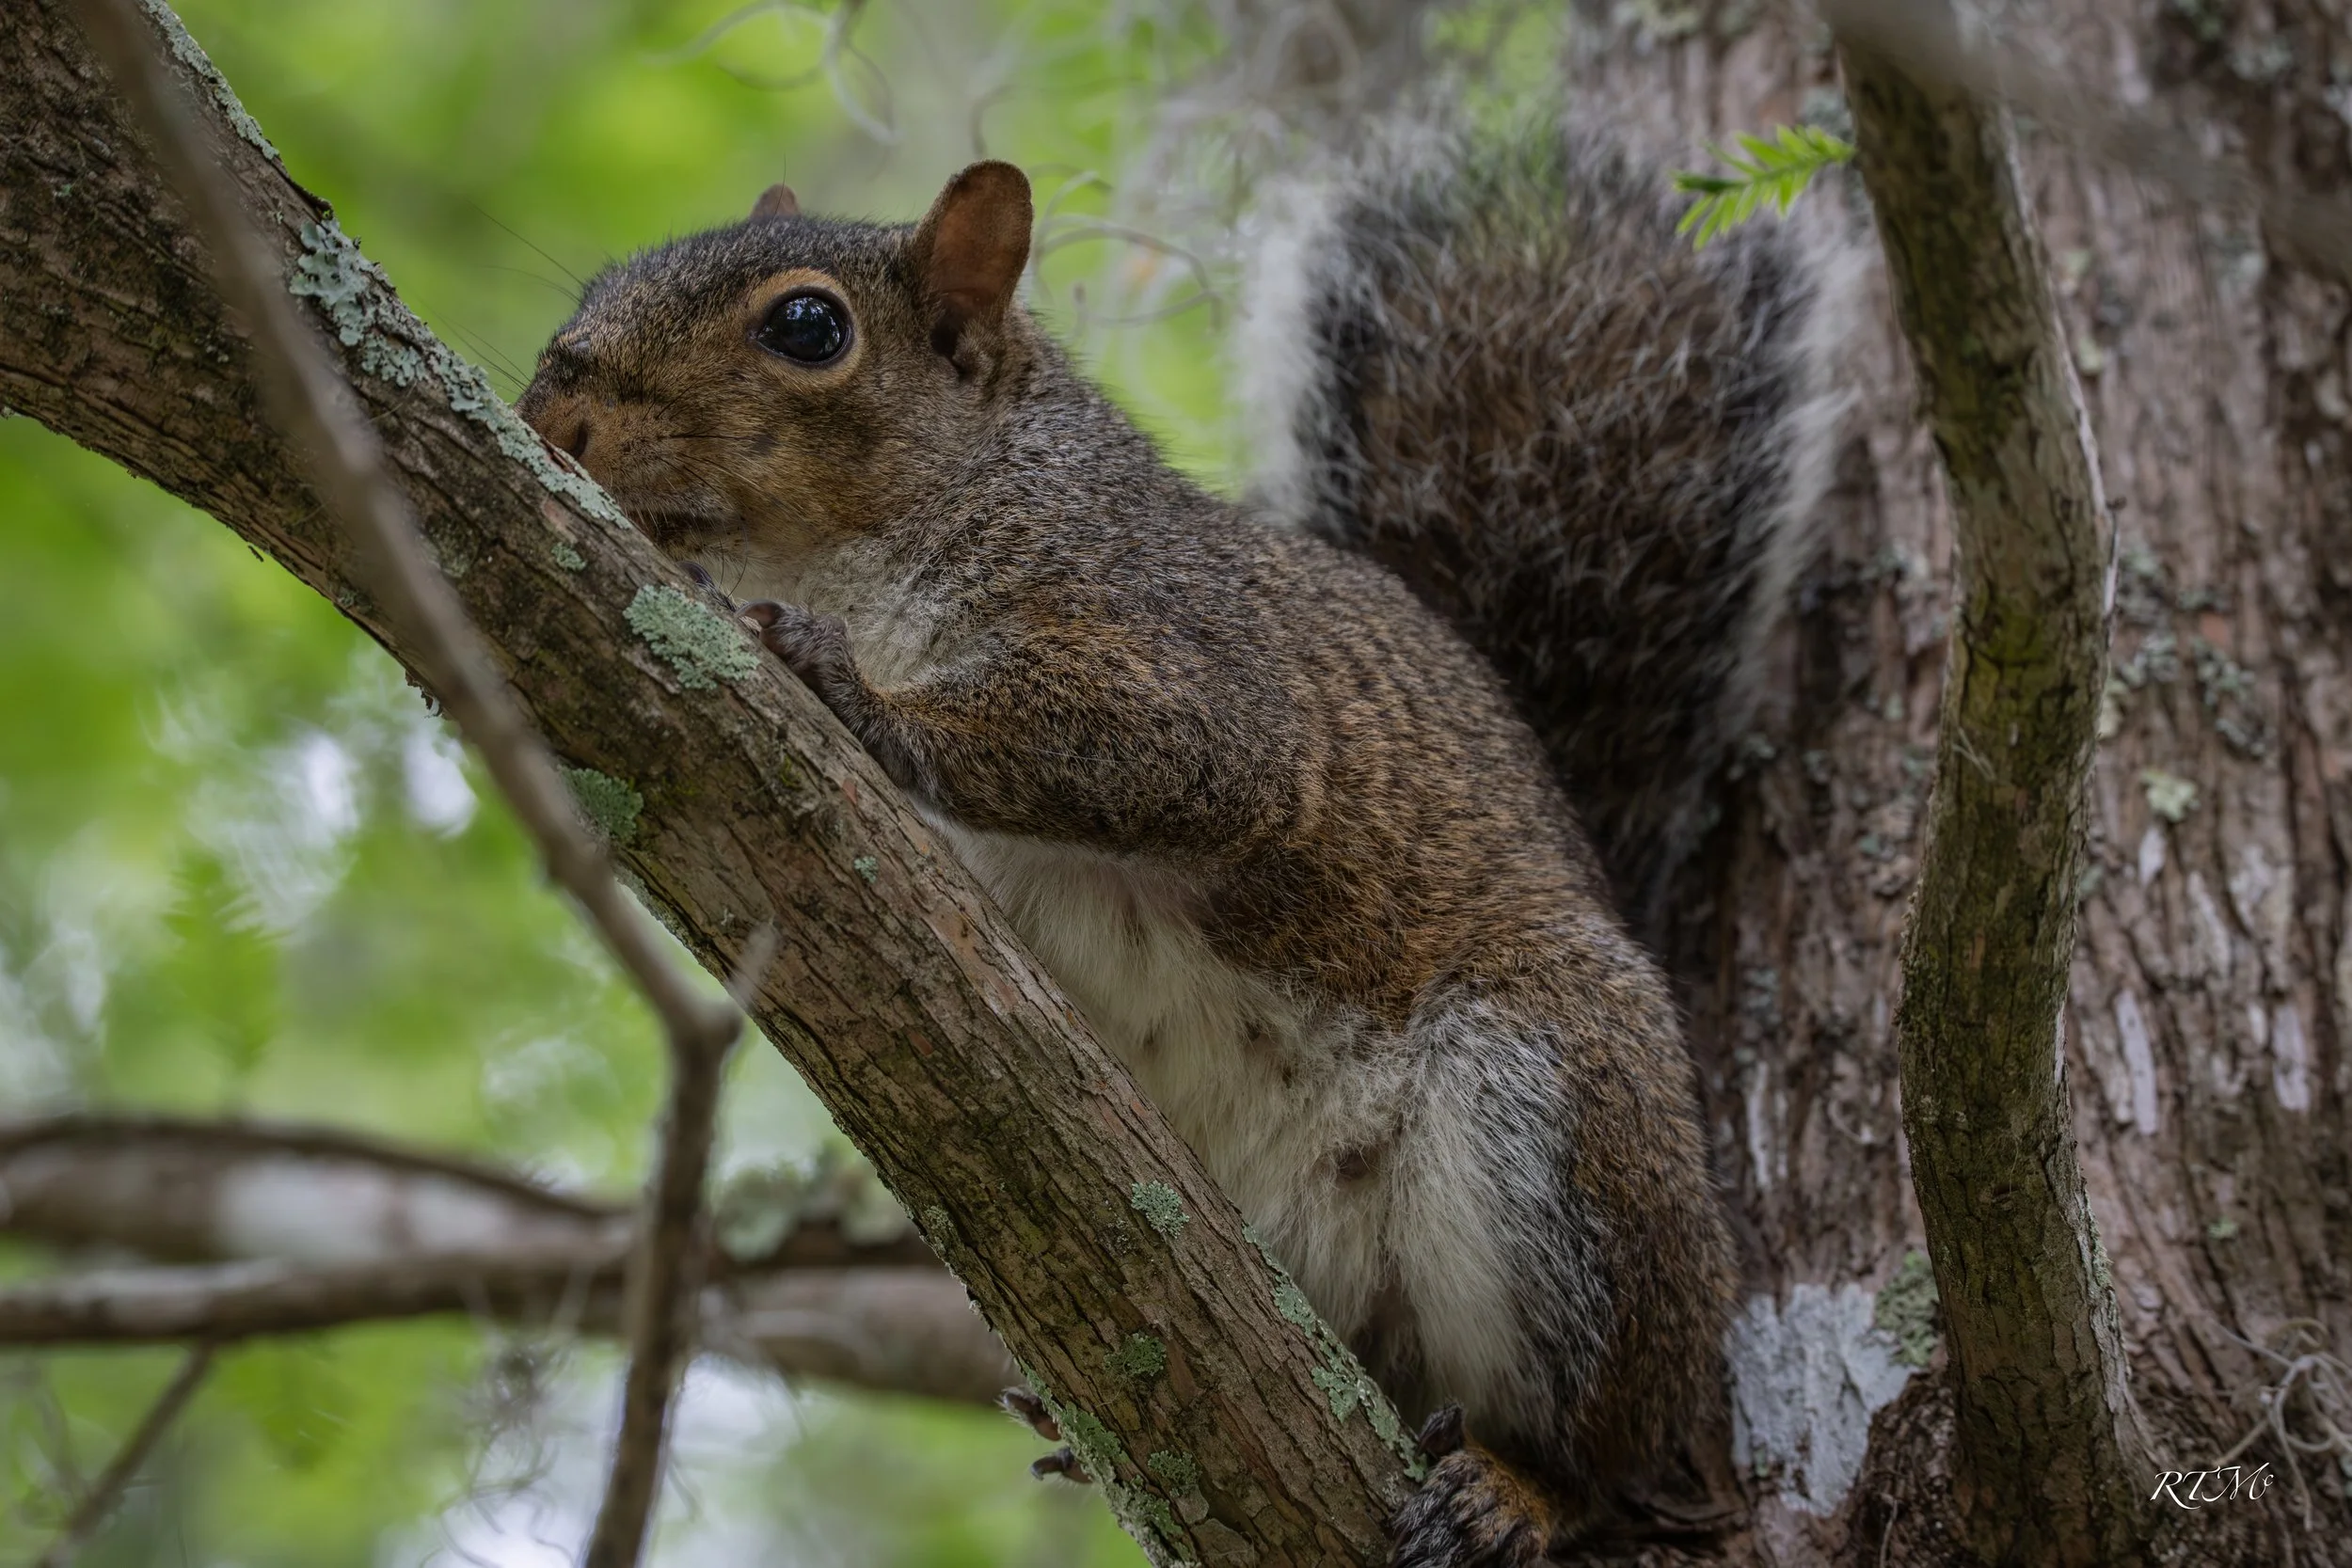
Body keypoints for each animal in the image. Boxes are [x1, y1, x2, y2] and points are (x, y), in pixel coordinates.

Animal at [518, 111, 1848, 1566]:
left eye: (808, 327)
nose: (552, 409)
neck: (879, 542)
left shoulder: (1182, 644)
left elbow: (1183, 755)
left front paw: (852, 687)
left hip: (1565, 1093)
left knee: (1607, 1440)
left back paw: (1526, 1487)